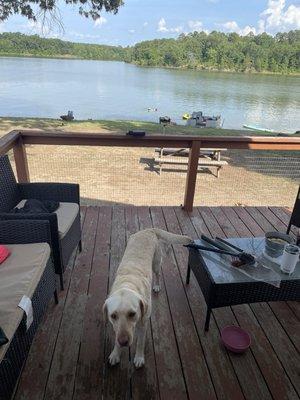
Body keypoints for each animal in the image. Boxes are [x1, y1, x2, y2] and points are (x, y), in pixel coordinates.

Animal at [103, 228, 192, 368]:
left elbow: (140, 343)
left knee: (158, 274)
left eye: (132, 314)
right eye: (113, 316)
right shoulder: (116, 326)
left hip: (156, 263)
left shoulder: (143, 324)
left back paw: (156, 285)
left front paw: (139, 357)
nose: (124, 342)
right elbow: (116, 337)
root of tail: (148, 229)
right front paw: (115, 354)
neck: (128, 283)